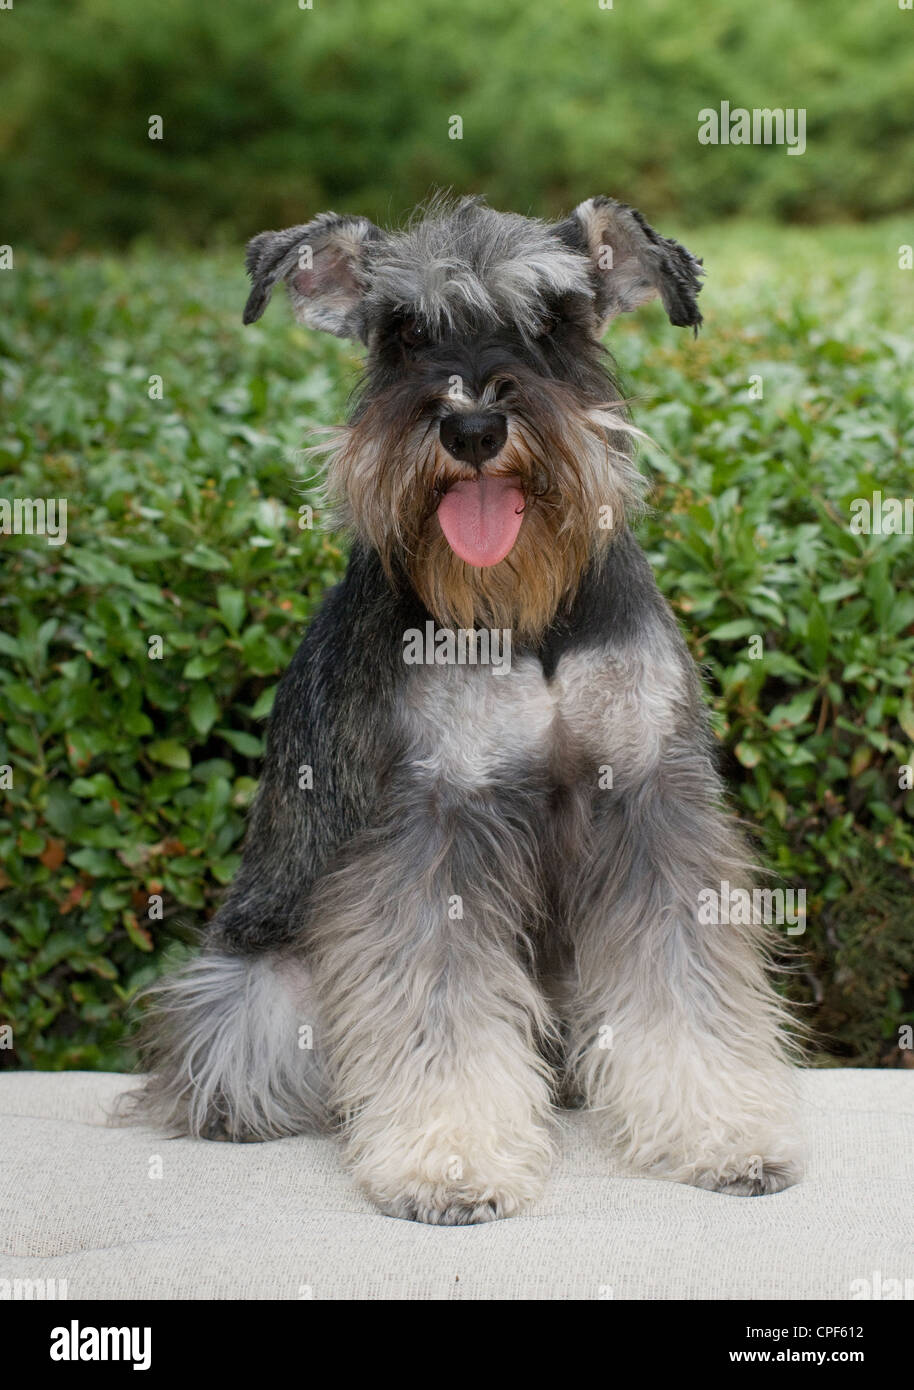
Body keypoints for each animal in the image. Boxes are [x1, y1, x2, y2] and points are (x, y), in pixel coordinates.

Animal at [126, 193, 800, 1217]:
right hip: (264, 992)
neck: (525, 613)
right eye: (404, 333)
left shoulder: (650, 796)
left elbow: (684, 980)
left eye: (554, 321)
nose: (473, 426)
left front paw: (723, 1133)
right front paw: (452, 1161)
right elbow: (436, 1006)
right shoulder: (437, 818)